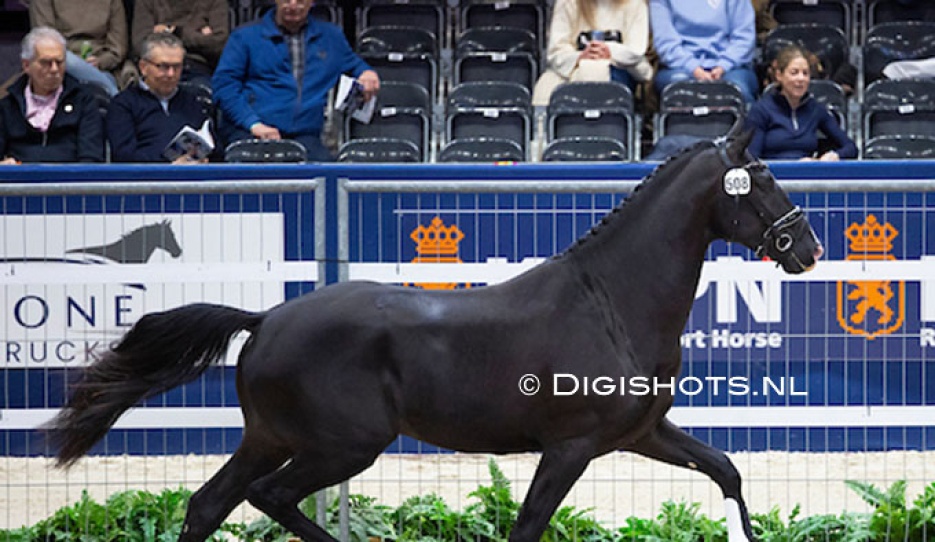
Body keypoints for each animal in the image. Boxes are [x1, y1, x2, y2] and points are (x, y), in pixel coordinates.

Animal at [45, 129, 823, 542]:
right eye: (759, 181)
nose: (808, 248)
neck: (610, 304)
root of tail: (264, 321)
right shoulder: (570, 447)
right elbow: (528, 525)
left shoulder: (640, 433)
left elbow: (726, 471)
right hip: (342, 445)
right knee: (266, 497)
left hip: (271, 436)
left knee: (213, 503)